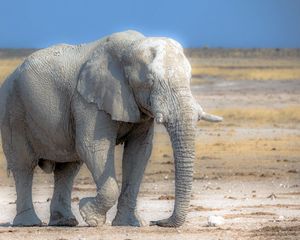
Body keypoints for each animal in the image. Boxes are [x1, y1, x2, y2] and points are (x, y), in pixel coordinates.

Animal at [0, 30, 221, 227]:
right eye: (150, 82)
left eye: (190, 79)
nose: (158, 222)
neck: (132, 46)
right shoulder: (88, 100)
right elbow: (93, 146)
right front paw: (90, 216)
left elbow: (139, 152)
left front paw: (130, 224)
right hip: (13, 111)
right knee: (24, 166)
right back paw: (29, 223)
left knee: (67, 168)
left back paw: (65, 222)